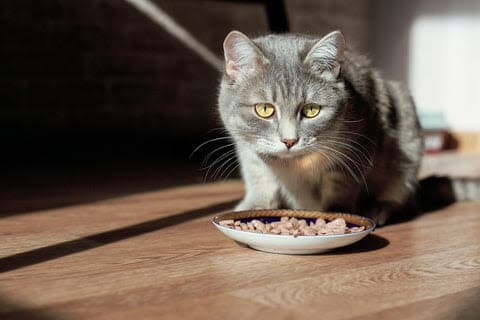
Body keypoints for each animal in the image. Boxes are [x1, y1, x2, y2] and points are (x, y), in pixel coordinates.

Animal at [218, 30, 476, 225]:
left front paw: (336, 213)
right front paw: (254, 206)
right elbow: (259, 178)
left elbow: (341, 185)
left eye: (311, 110)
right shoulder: (250, 152)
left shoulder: (356, 149)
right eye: (264, 109)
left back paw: (378, 208)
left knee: (401, 197)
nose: (289, 141)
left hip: (406, 142)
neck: (294, 166)